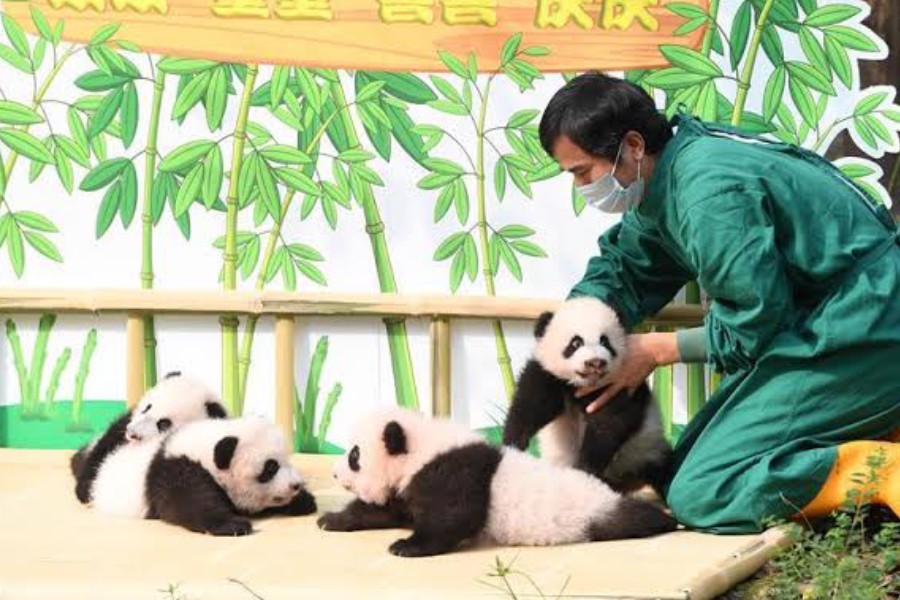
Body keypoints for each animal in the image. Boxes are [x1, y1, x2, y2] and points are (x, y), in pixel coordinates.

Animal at [70, 371, 227, 505]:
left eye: (164, 424)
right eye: (147, 407)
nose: (133, 434)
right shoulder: (125, 423)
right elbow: (106, 444)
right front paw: (85, 490)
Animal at [90, 417, 317, 535]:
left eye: (287, 460)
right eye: (271, 468)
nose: (295, 485)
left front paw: (304, 501)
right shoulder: (176, 472)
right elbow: (190, 503)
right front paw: (232, 525)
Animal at [317, 407, 677, 558]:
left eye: (354, 455)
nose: (334, 473)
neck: (422, 447)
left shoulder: (450, 473)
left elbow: (455, 517)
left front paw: (405, 546)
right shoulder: (411, 482)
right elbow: (387, 509)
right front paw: (331, 519)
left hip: (591, 512)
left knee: (631, 518)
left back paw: (662, 521)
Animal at [501, 297, 673, 497]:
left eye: (605, 341)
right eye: (576, 343)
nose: (595, 363)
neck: (584, 385)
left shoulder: (620, 385)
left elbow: (609, 423)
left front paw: (585, 470)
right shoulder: (549, 375)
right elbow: (532, 405)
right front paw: (512, 444)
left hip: (647, 447)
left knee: (664, 468)